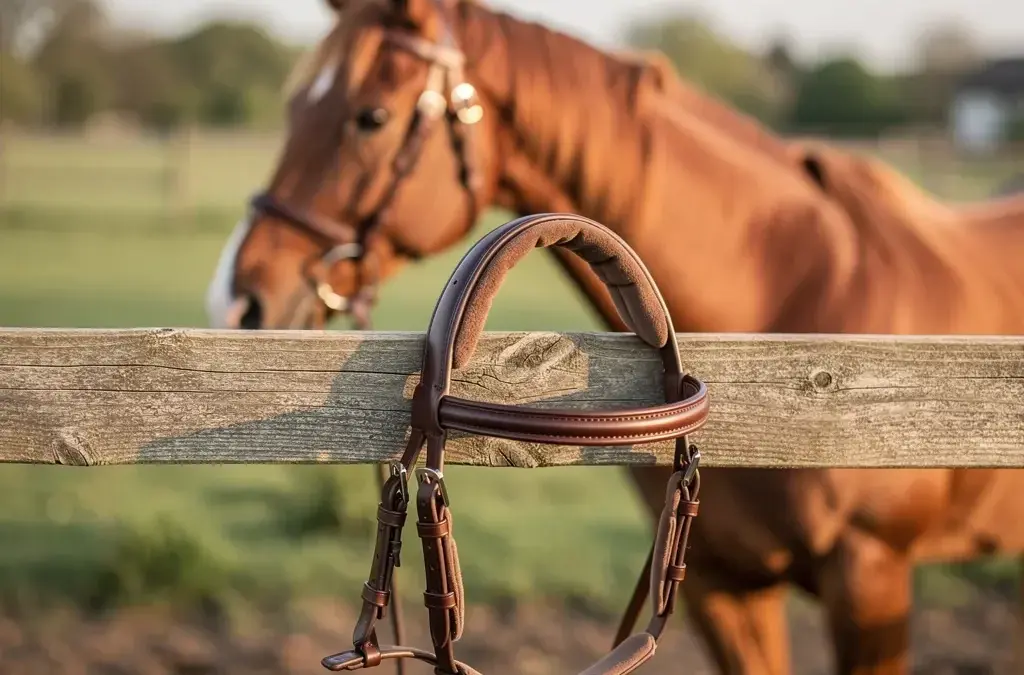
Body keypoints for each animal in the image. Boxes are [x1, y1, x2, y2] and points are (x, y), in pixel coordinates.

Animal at [204, 1, 1024, 673]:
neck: (792, 303)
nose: (239, 298)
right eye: (293, 104)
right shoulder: (723, 587)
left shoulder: (870, 578)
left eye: (370, 116)